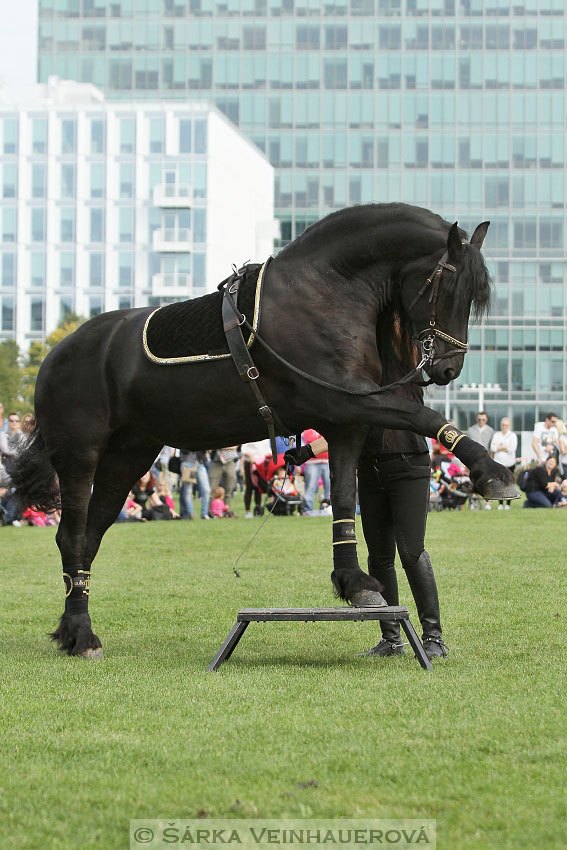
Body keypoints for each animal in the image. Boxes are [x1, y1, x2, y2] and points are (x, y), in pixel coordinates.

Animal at [12, 204, 520, 656]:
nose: (448, 368)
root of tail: (55, 354)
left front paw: (354, 583)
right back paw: (81, 635)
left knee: (88, 538)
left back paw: (72, 630)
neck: (324, 293)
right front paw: (492, 472)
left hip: (127, 456)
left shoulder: (346, 423)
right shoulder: (345, 400)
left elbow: (345, 502)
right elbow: (425, 419)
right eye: (448, 286)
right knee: (72, 536)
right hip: (80, 455)